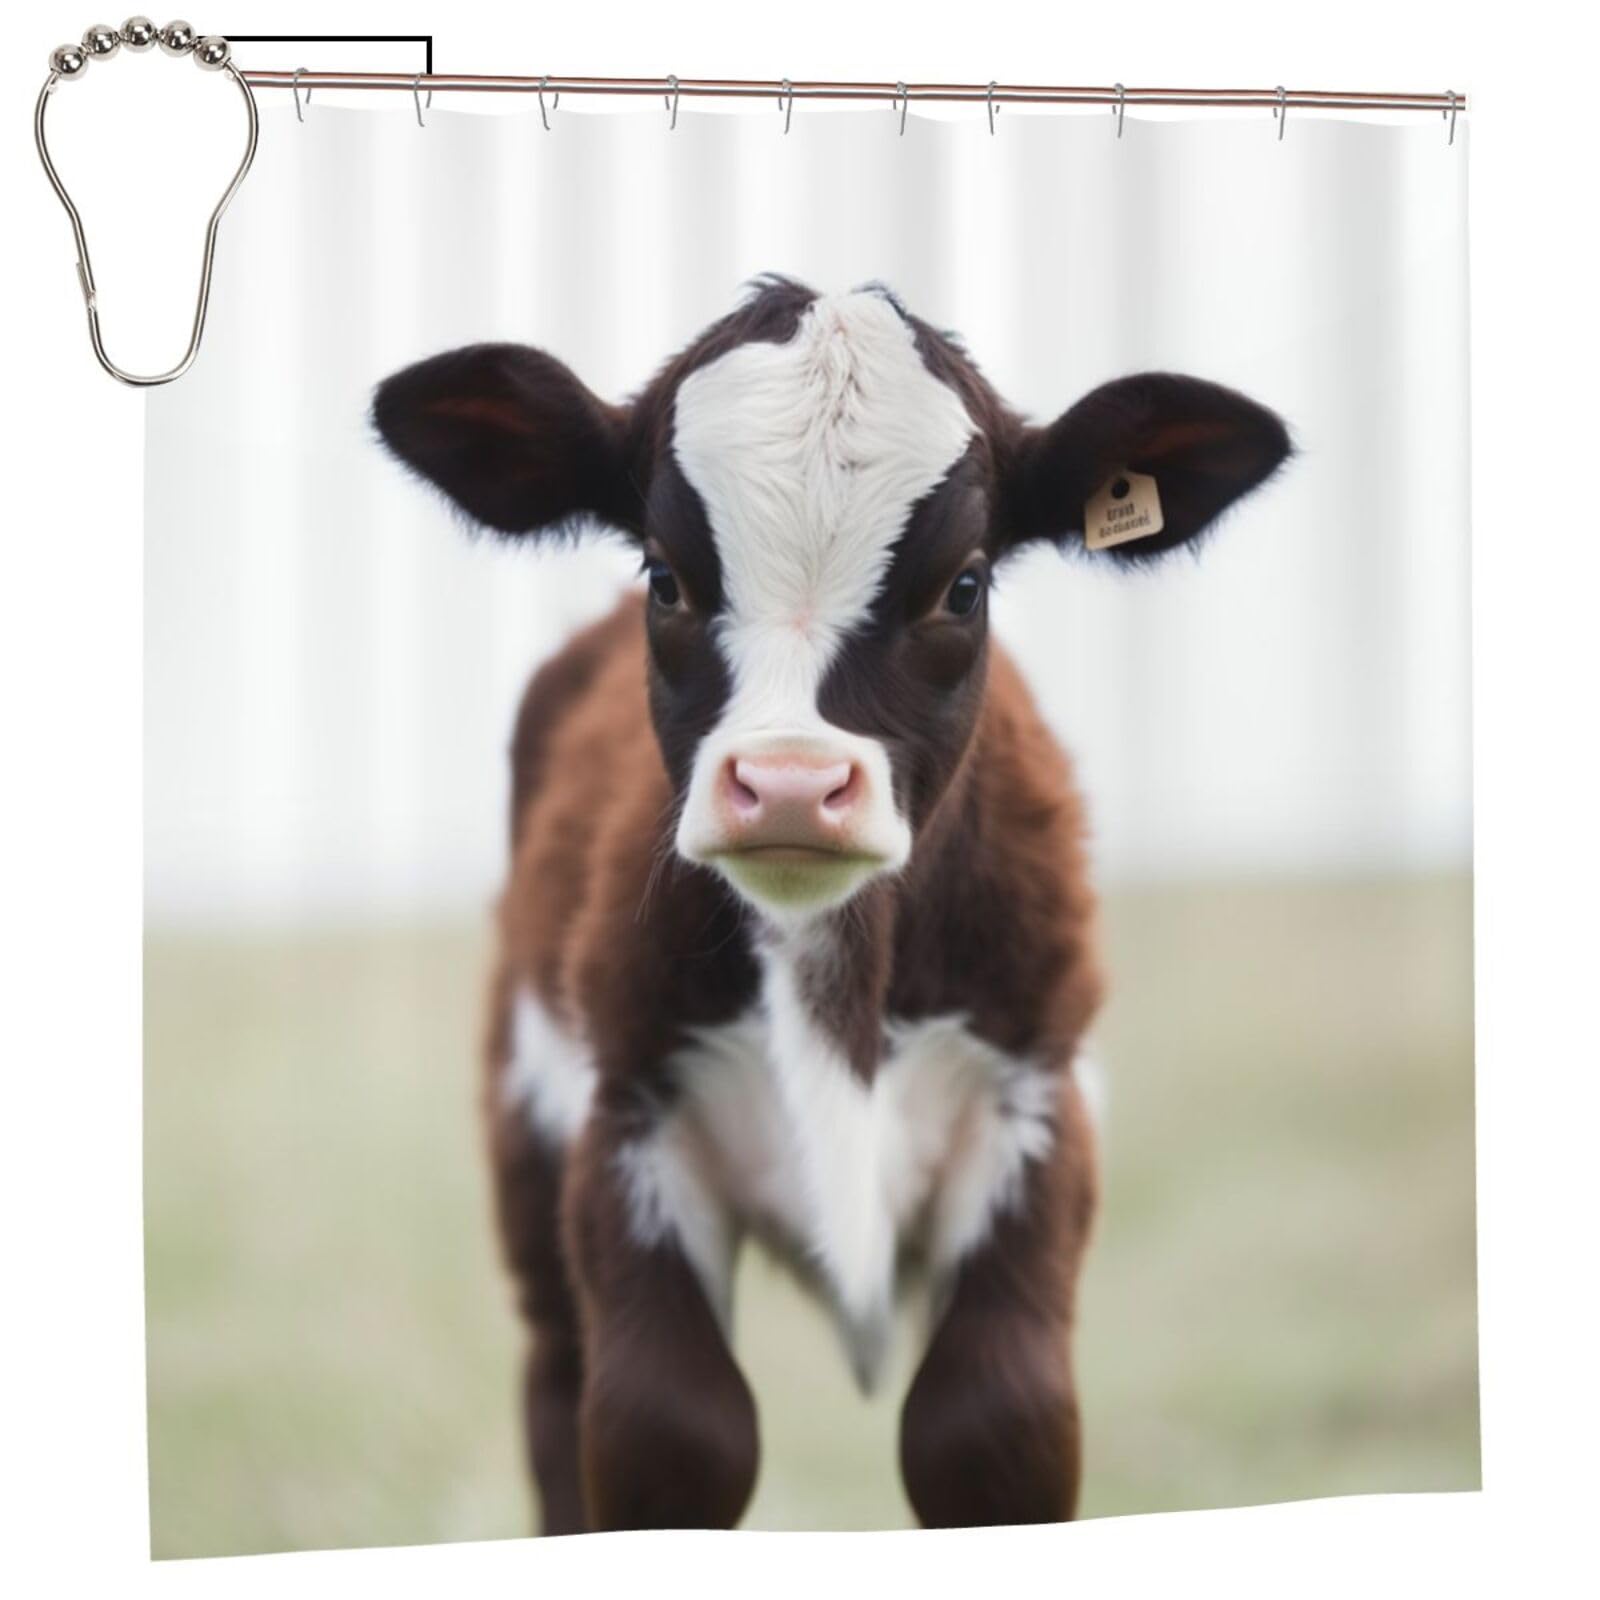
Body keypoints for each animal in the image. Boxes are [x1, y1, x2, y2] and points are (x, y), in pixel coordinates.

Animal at [372, 276, 1289, 1533]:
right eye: (665, 575)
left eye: (964, 584)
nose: (791, 782)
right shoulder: (626, 1123)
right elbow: (670, 1430)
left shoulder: (1038, 1108)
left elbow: (989, 1424)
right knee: (558, 1387)